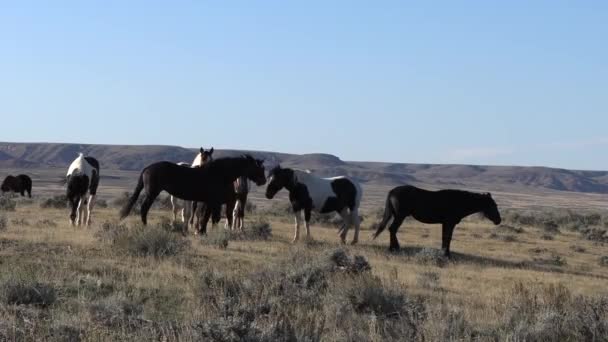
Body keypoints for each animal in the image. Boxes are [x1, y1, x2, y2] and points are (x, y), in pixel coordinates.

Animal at [121, 154, 266, 234]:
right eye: (258, 167)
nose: (263, 181)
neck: (219, 173)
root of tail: (147, 168)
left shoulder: (211, 202)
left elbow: (207, 217)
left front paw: (202, 231)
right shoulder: (213, 201)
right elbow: (209, 218)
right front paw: (203, 232)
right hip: (152, 193)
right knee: (144, 208)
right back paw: (145, 227)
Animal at [372, 184, 502, 256]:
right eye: (492, 205)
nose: (498, 220)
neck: (459, 201)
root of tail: (392, 191)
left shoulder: (446, 223)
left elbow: (446, 237)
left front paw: (445, 253)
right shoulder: (449, 223)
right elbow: (447, 237)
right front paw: (446, 254)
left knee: (392, 229)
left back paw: (393, 248)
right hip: (400, 216)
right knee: (392, 229)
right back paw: (394, 249)